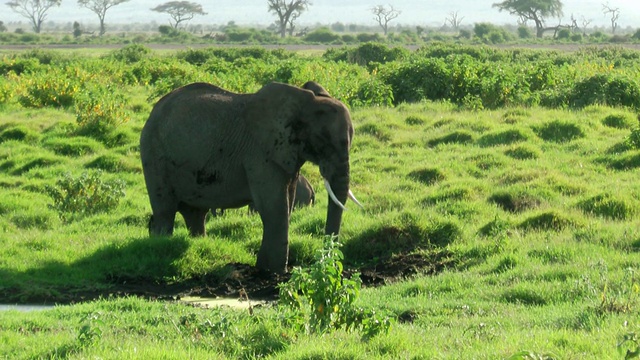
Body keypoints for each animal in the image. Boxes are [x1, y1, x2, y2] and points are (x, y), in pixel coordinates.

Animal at [140, 81, 360, 272]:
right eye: (322, 142)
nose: (324, 261)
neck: (302, 102)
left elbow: (286, 202)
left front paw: (265, 268)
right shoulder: (260, 153)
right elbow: (275, 206)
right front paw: (274, 272)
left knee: (195, 214)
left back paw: (197, 243)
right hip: (153, 153)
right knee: (165, 210)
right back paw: (160, 245)